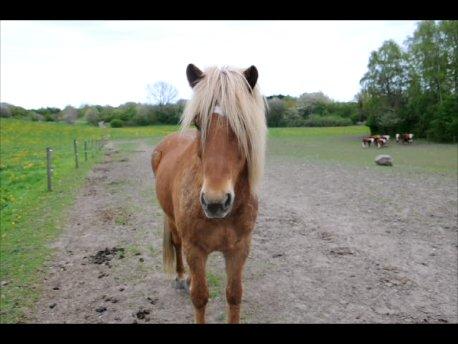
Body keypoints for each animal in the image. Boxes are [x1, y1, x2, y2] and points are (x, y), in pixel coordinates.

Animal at [152, 63, 266, 322]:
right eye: (197, 122)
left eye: (242, 122)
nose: (215, 202)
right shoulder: (194, 249)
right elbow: (200, 297)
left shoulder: (239, 249)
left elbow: (234, 295)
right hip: (172, 221)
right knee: (176, 243)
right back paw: (181, 277)